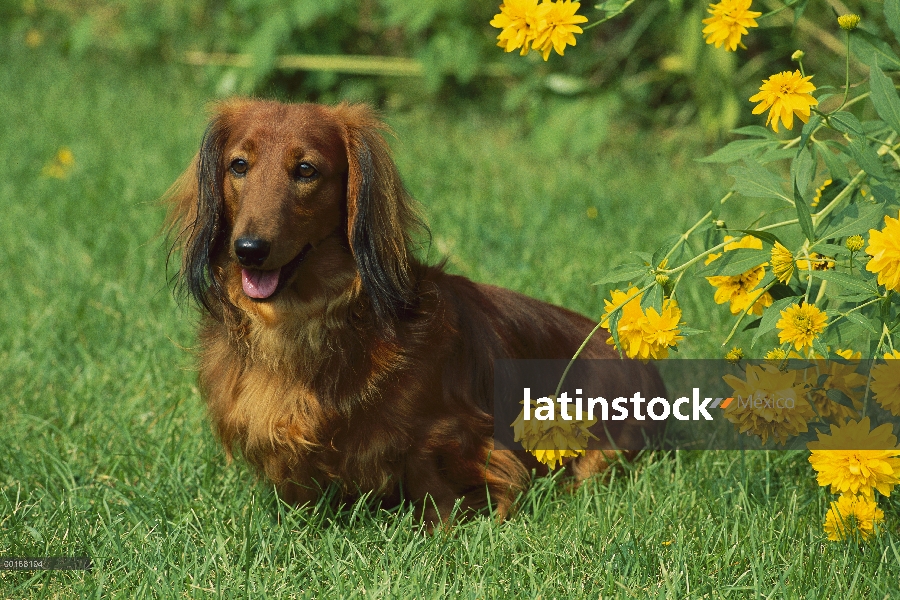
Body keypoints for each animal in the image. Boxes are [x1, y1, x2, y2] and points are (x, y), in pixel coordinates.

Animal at [165, 99, 664, 524]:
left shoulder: (453, 433)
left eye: (305, 170)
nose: (249, 250)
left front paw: (444, 527)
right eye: (239, 165)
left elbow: (437, 479)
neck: (305, 322)